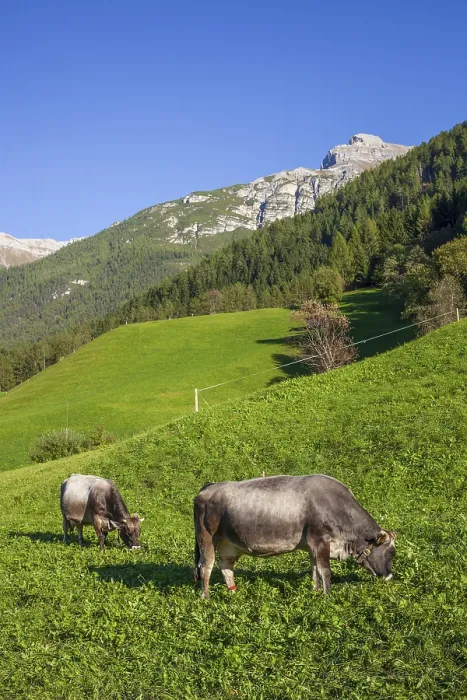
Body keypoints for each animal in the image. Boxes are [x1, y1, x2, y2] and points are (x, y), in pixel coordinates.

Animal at [193, 474, 396, 598]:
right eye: (390, 553)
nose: (389, 576)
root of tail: (209, 487)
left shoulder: (312, 546)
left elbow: (314, 570)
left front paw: (315, 592)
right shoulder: (321, 541)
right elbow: (325, 571)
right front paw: (327, 597)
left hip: (229, 545)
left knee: (225, 567)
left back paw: (233, 593)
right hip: (206, 539)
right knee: (206, 568)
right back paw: (206, 597)